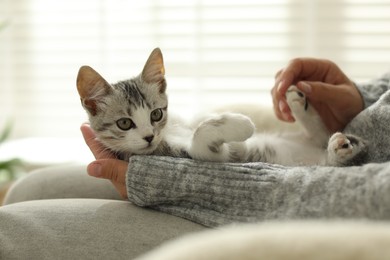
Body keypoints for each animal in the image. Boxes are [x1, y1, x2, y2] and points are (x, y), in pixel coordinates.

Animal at [77, 47, 368, 167]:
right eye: (124, 123)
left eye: (156, 114)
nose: (149, 136)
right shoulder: (199, 155)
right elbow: (201, 136)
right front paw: (241, 123)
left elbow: (198, 122)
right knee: (329, 156)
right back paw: (340, 148)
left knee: (318, 134)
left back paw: (298, 102)